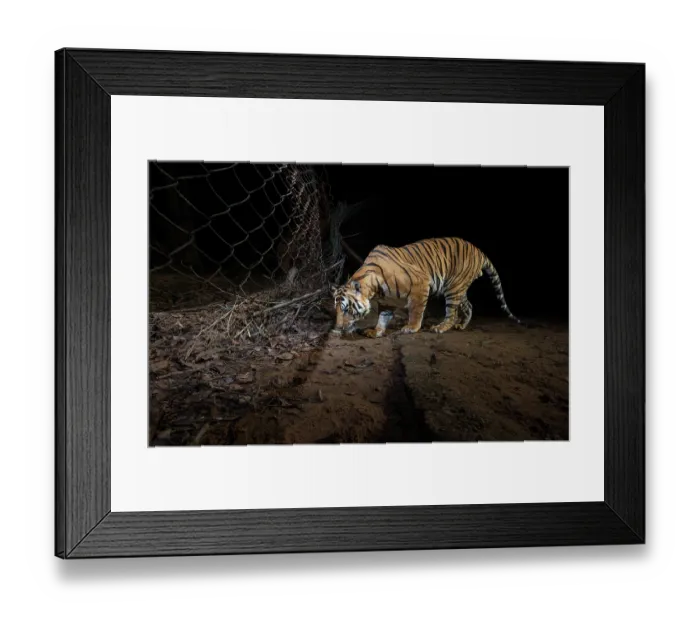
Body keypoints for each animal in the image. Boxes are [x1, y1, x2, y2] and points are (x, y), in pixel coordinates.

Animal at [331, 237, 521, 337]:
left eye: (347, 309)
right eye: (337, 310)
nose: (338, 328)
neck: (375, 290)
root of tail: (478, 250)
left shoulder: (420, 284)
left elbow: (416, 311)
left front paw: (411, 328)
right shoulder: (387, 301)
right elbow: (382, 317)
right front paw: (376, 331)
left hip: (453, 288)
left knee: (451, 313)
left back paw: (441, 327)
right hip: (459, 287)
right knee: (469, 305)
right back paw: (462, 325)